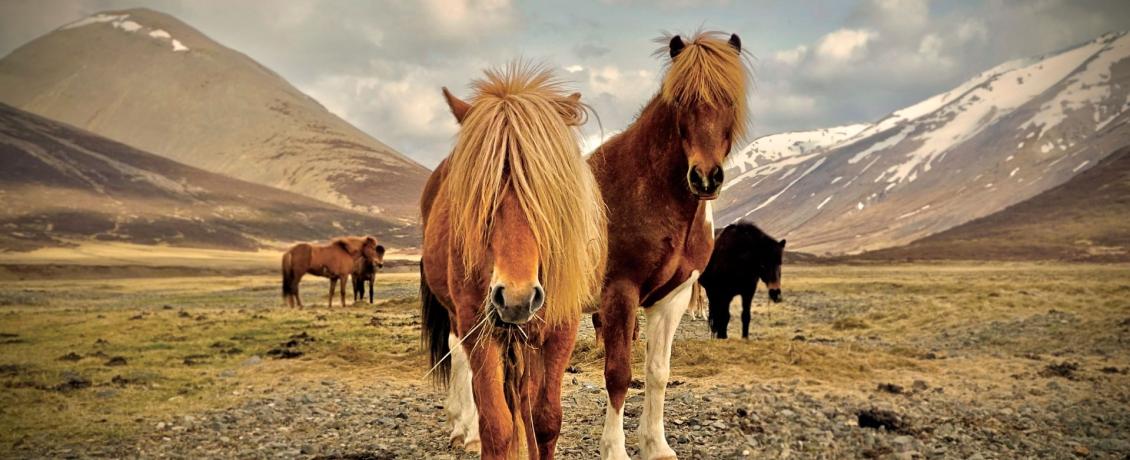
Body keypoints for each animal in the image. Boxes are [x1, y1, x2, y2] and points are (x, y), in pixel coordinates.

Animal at [419, 63, 607, 459]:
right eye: (480, 195)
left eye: (549, 192)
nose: (516, 298)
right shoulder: (478, 327)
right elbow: (497, 424)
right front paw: (480, 434)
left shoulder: (561, 327)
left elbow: (545, 419)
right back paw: (465, 430)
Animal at [587, 31, 749, 460]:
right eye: (680, 102)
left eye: (730, 99)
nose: (705, 178)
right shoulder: (620, 293)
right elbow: (618, 374)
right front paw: (615, 450)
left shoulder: (672, 298)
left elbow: (657, 372)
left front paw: (655, 445)